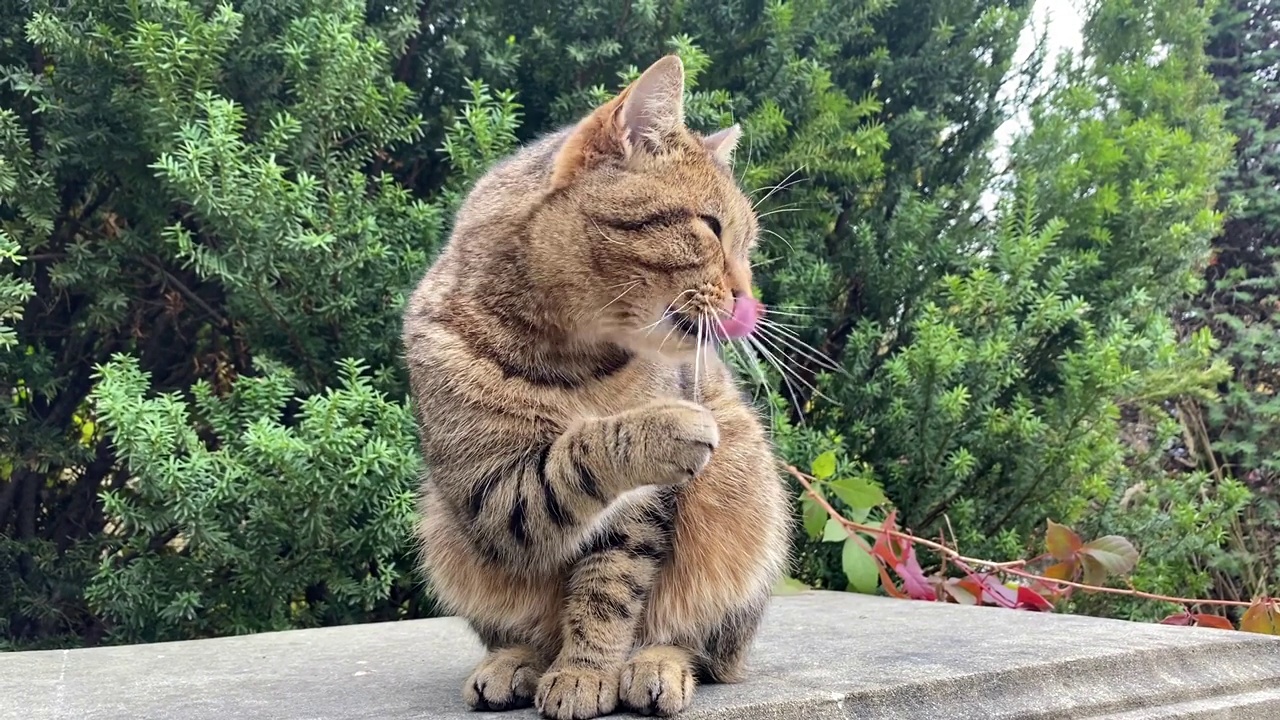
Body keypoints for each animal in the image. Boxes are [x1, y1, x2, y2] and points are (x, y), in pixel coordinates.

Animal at [404, 53, 793, 712]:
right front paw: (657, 428)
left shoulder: (641, 515)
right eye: (710, 227)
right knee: (519, 631)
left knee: (700, 645)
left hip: (747, 502)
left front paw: (586, 672)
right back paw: (515, 661)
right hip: (444, 530)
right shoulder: (487, 492)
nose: (751, 301)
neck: (567, 358)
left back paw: (657, 664)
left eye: (748, 245)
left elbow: (608, 592)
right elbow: (573, 456)